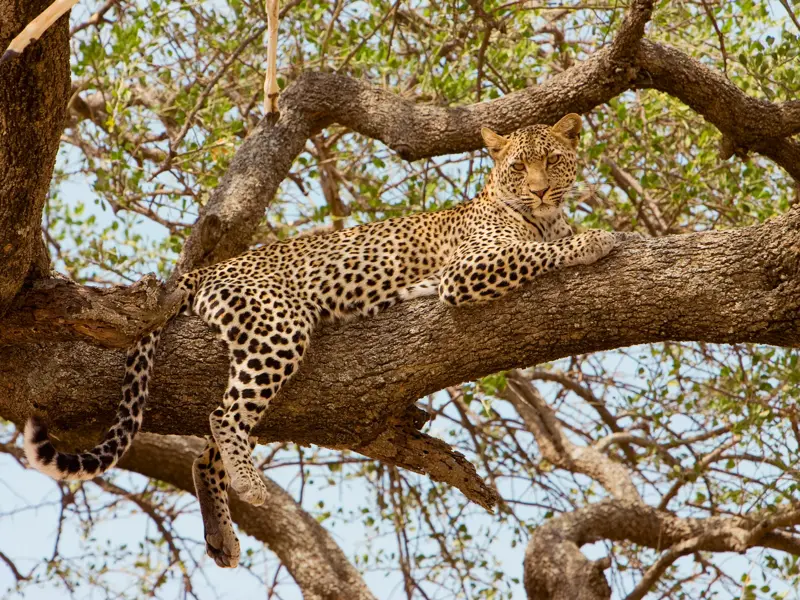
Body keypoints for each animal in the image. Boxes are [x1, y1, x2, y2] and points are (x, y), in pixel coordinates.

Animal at [24, 113, 618, 568]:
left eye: (553, 161)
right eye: (518, 167)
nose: (540, 190)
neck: (544, 216)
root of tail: (208, 268)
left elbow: (543, 245)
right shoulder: (465, 271)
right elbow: (537, 252)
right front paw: (596, 238)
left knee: (206, 450)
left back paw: (221, 533)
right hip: (278, 327)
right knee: (223, 415)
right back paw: (250, 485)